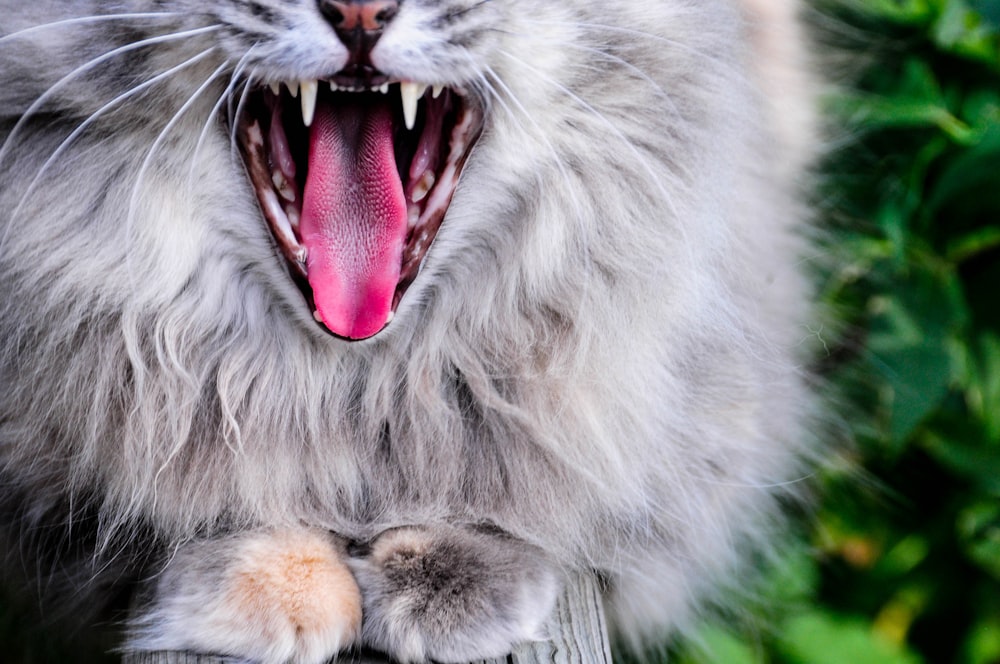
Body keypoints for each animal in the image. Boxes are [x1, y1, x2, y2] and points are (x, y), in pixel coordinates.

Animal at [0, 0, 820, 660]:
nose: (360, 10)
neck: (355, 383)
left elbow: (504, 480)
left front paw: (447, 582)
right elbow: (214, 480)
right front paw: (272, 585)